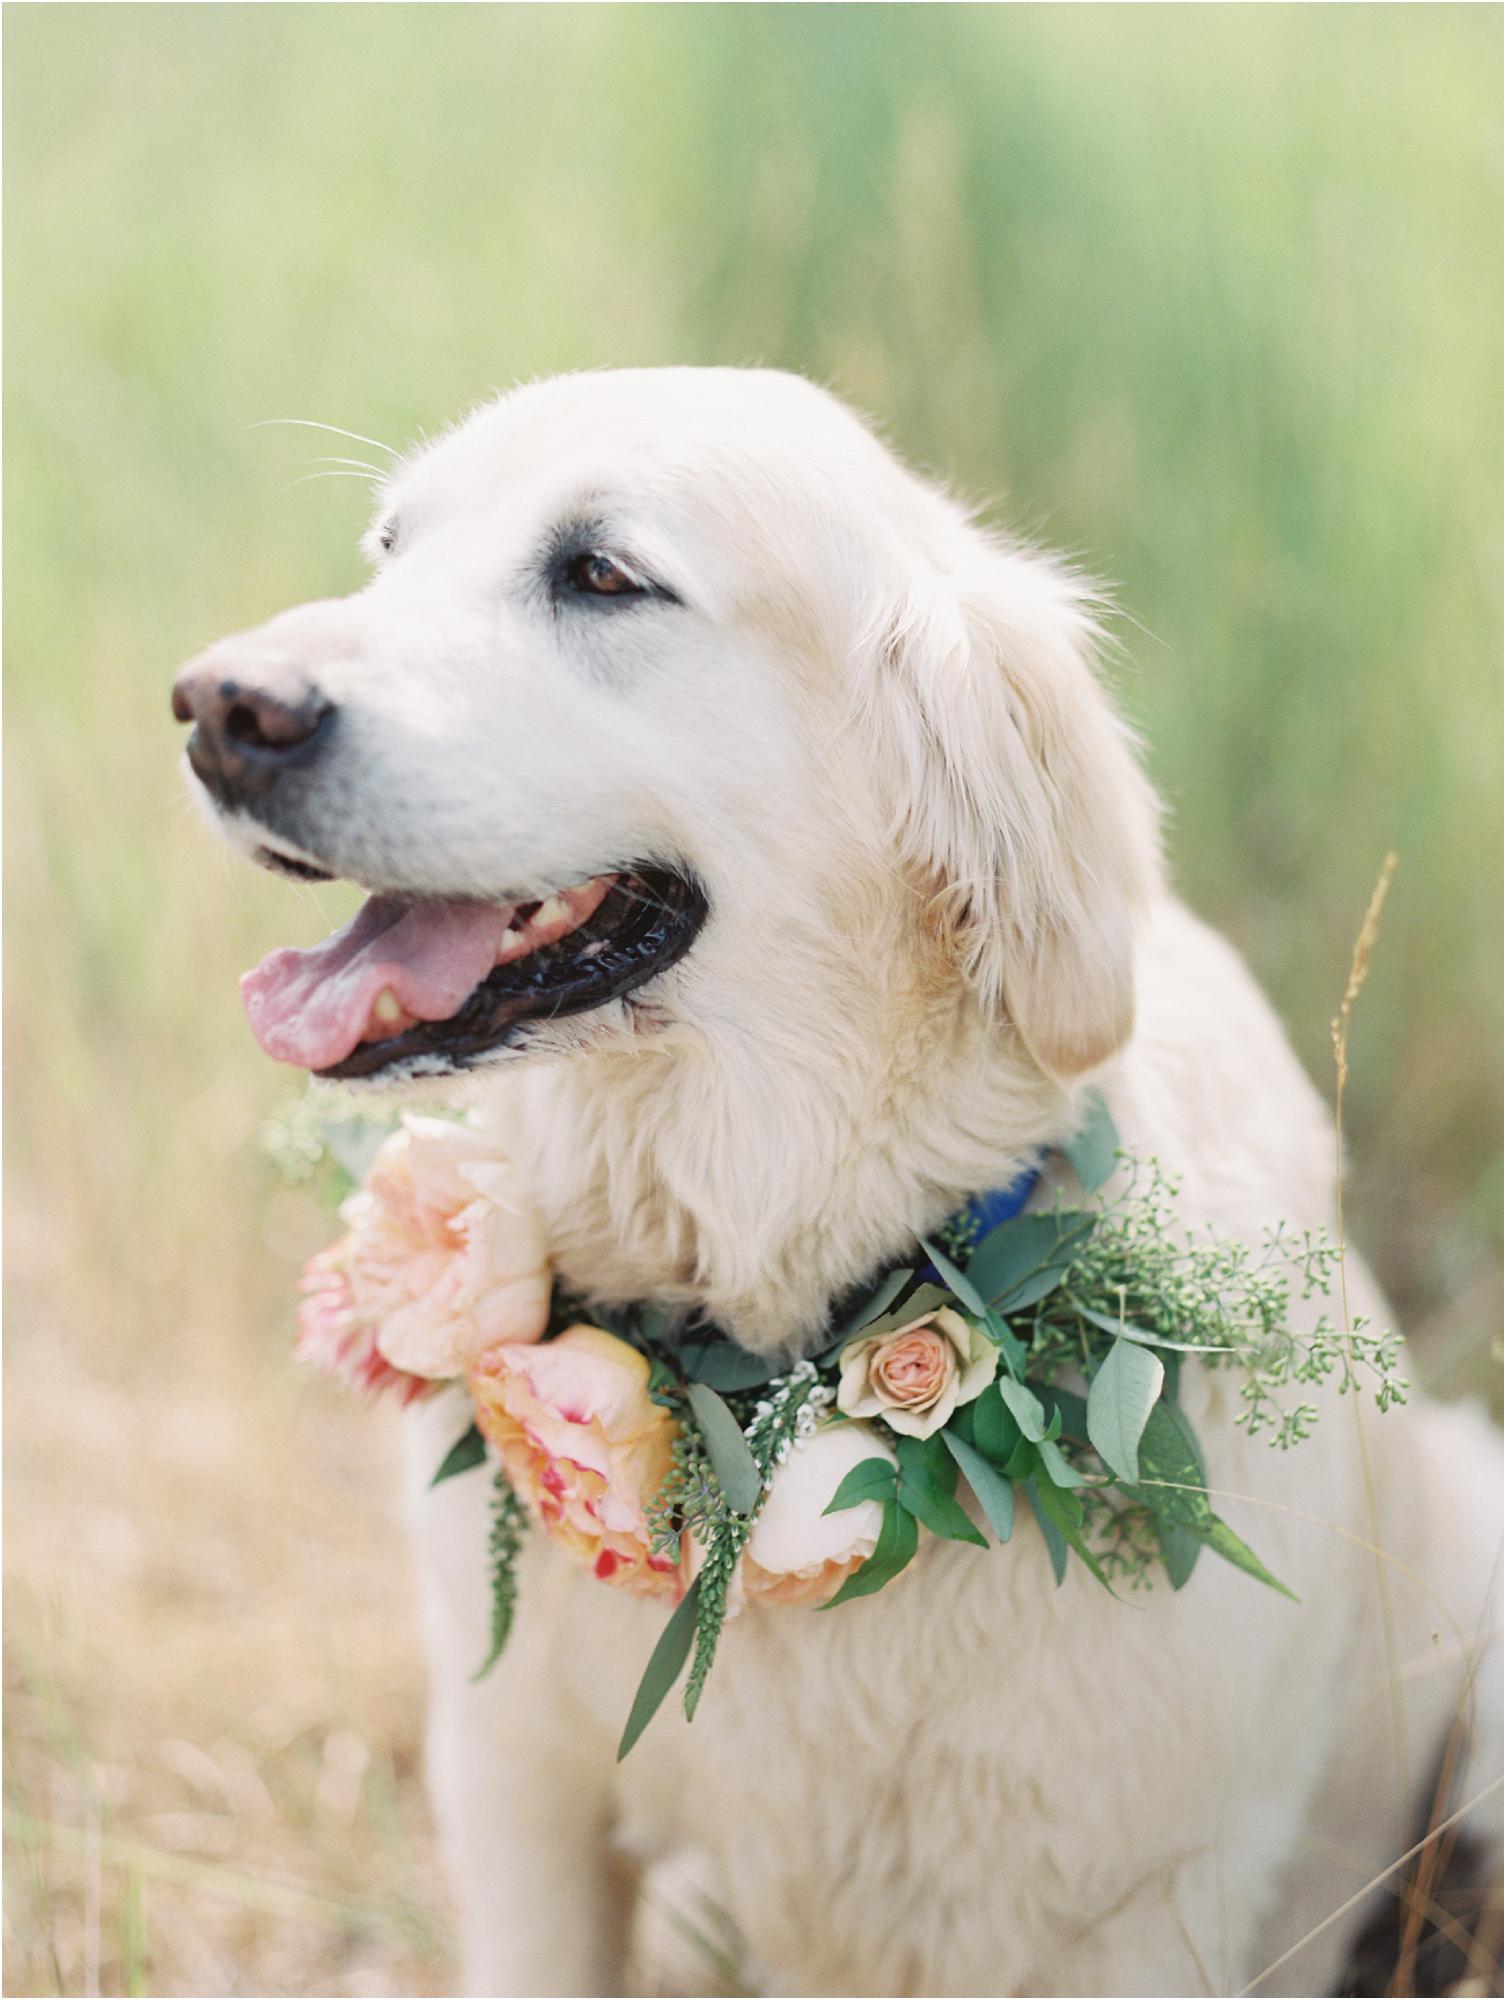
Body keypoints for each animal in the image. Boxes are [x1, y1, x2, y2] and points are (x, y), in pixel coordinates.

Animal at [173, 372, 1496, 1984]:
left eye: (602, 573)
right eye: (389, 550)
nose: (216, 707)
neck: (765, 1285)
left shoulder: (1142, 1896)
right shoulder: (520, 1793)